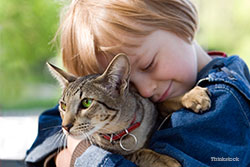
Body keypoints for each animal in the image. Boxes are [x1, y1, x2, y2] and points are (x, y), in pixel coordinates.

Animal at [47, 53, 211, 167]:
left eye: (86, 103)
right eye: (63, 106)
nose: (65, 126)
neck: (123, 131)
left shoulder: (153, 107)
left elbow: (164, 101)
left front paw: (192, 96)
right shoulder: (120, 154)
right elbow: (139, 153)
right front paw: (164, 160)